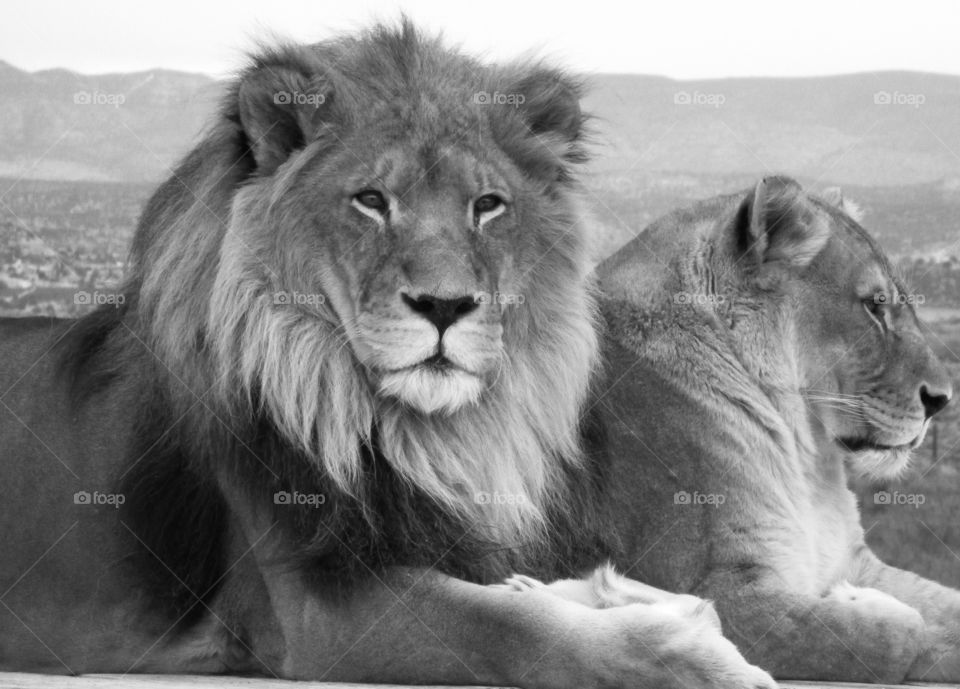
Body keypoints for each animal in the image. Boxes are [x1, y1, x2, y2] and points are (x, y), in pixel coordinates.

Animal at [0, 21, 775, 689]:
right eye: (371, 200)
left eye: (487, 205)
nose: (445, 306)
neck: (429, 433)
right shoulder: (314, 610)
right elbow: (506, 623)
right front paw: (690, 652)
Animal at [506, 176, 958, 683]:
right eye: (875, 306)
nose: (942, 399)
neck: (808, 462)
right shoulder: (732, 591)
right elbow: (896, 637)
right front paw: (864, 605)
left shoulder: (851, 560)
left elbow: (942, 605)